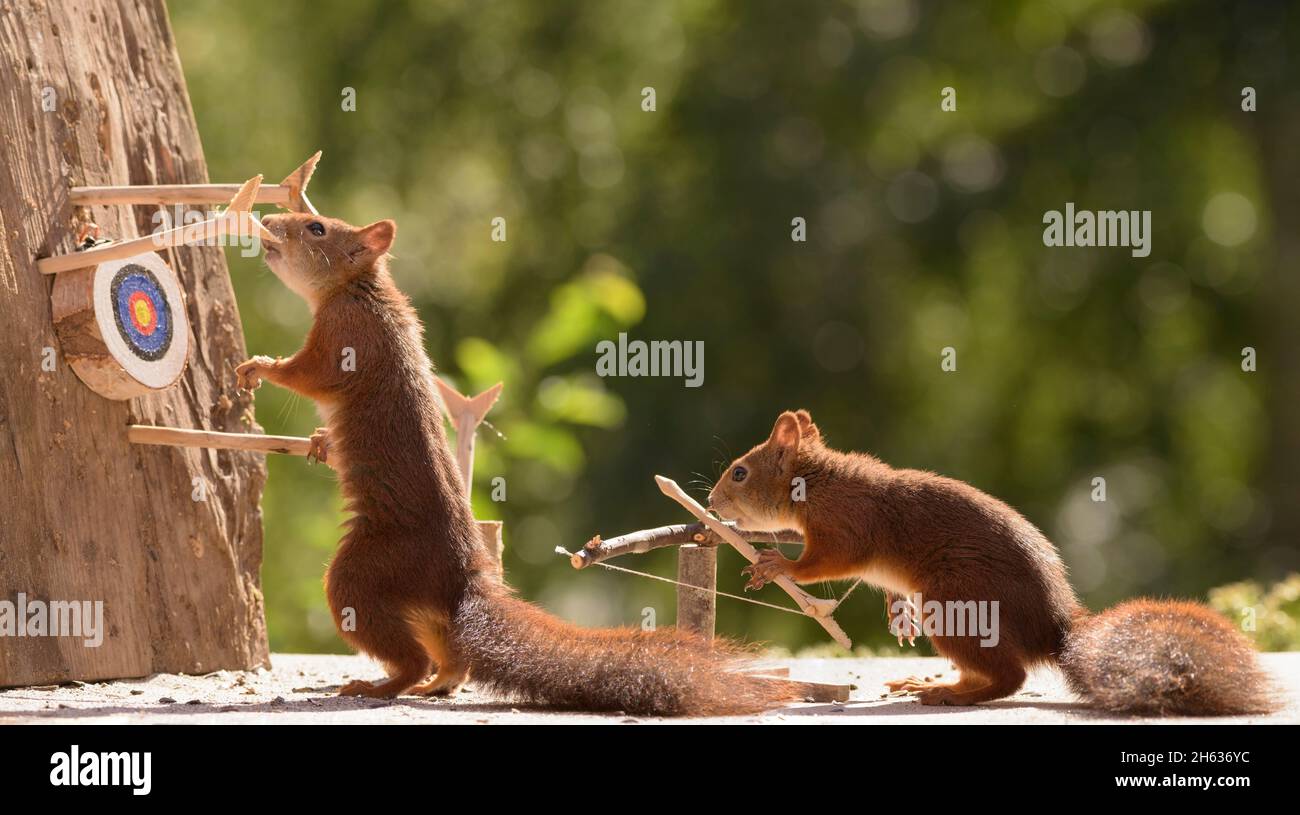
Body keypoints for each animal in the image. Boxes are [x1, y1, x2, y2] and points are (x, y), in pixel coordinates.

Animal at [234, 212, 796, 716]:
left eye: (316, 228)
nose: (268, 220)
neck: (360, 291)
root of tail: (462, 580)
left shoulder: (343, 339)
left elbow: (306, 374)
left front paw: (258, 367)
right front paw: (318, 441)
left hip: (363, 575)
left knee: (408, 655)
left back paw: (379, 686)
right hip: (425, 611)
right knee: (451, 659)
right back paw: (434, 685)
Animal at [708, 409, 1277, 716]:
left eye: (739, 473)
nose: (711, 503)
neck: (815, 483)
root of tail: (1051, 629)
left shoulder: (847, 527)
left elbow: (827, 564)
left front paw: (775, 566)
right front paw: (896, 610)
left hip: (954, 601)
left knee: (1011, 677)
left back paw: (950, 697)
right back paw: (932, 684)